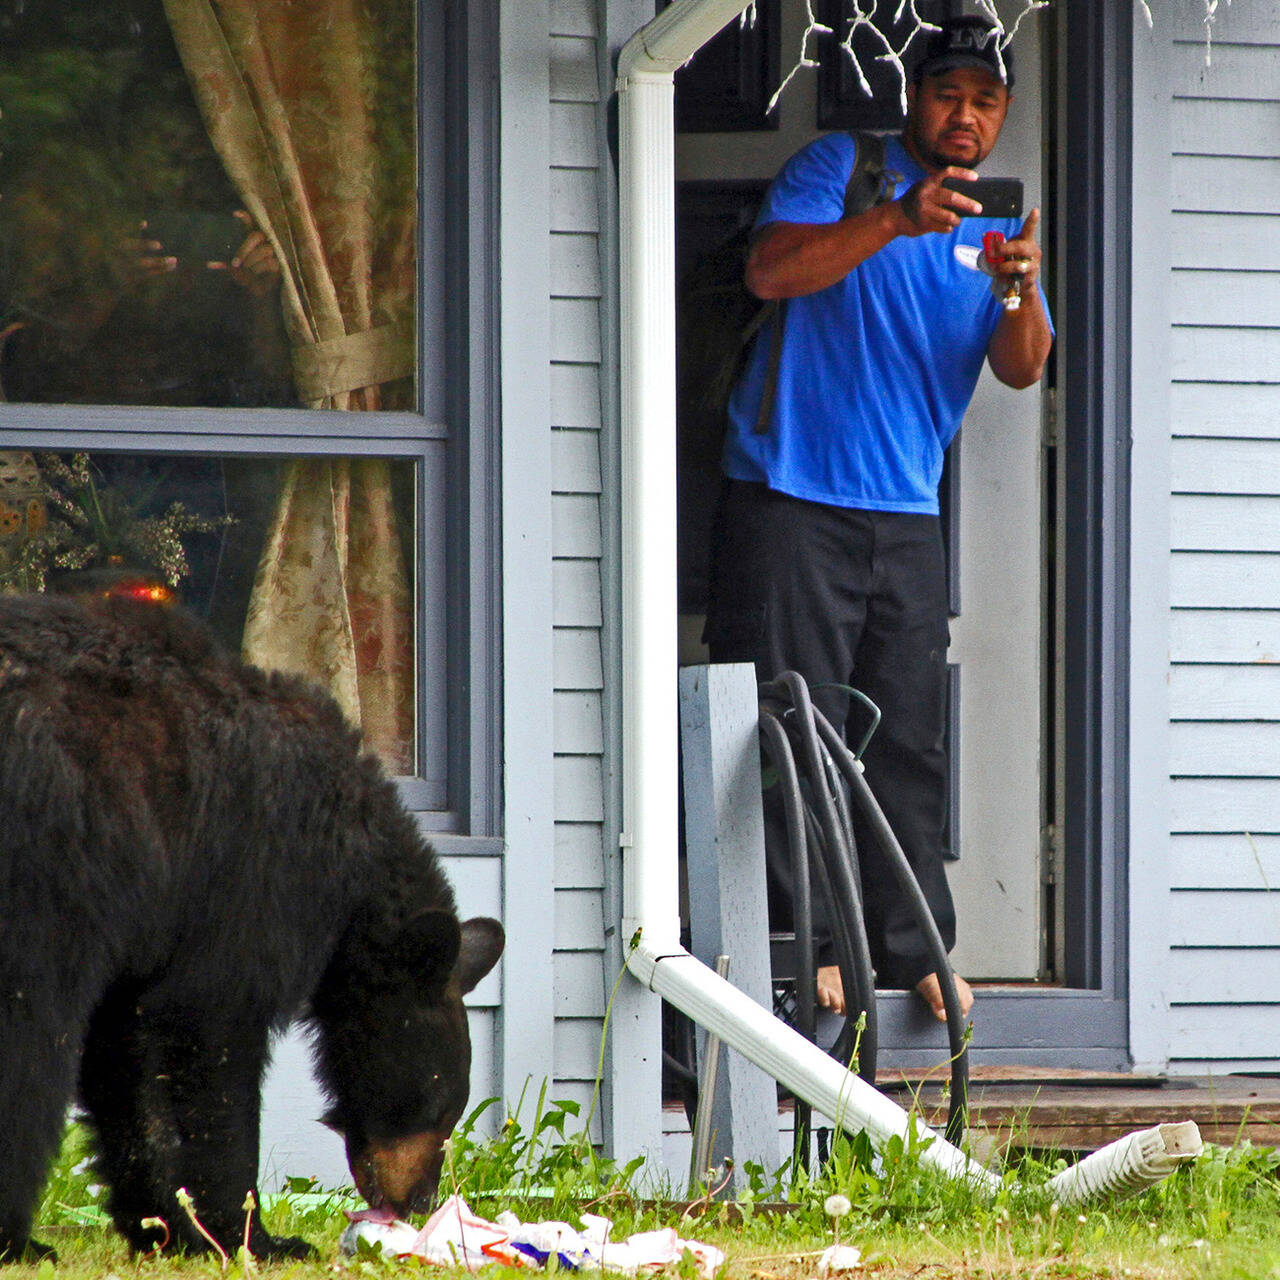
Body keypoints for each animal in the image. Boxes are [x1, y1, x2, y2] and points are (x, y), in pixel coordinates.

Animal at [0, 591, 504, 1259]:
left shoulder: (148, 928)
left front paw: (167, 1228)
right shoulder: (250, 886)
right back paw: (19, 1239)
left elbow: (126, 1060)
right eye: (438, 1104)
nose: (419, 1201)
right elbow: (210, 1042)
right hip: (47, 862)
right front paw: (254, 1235)